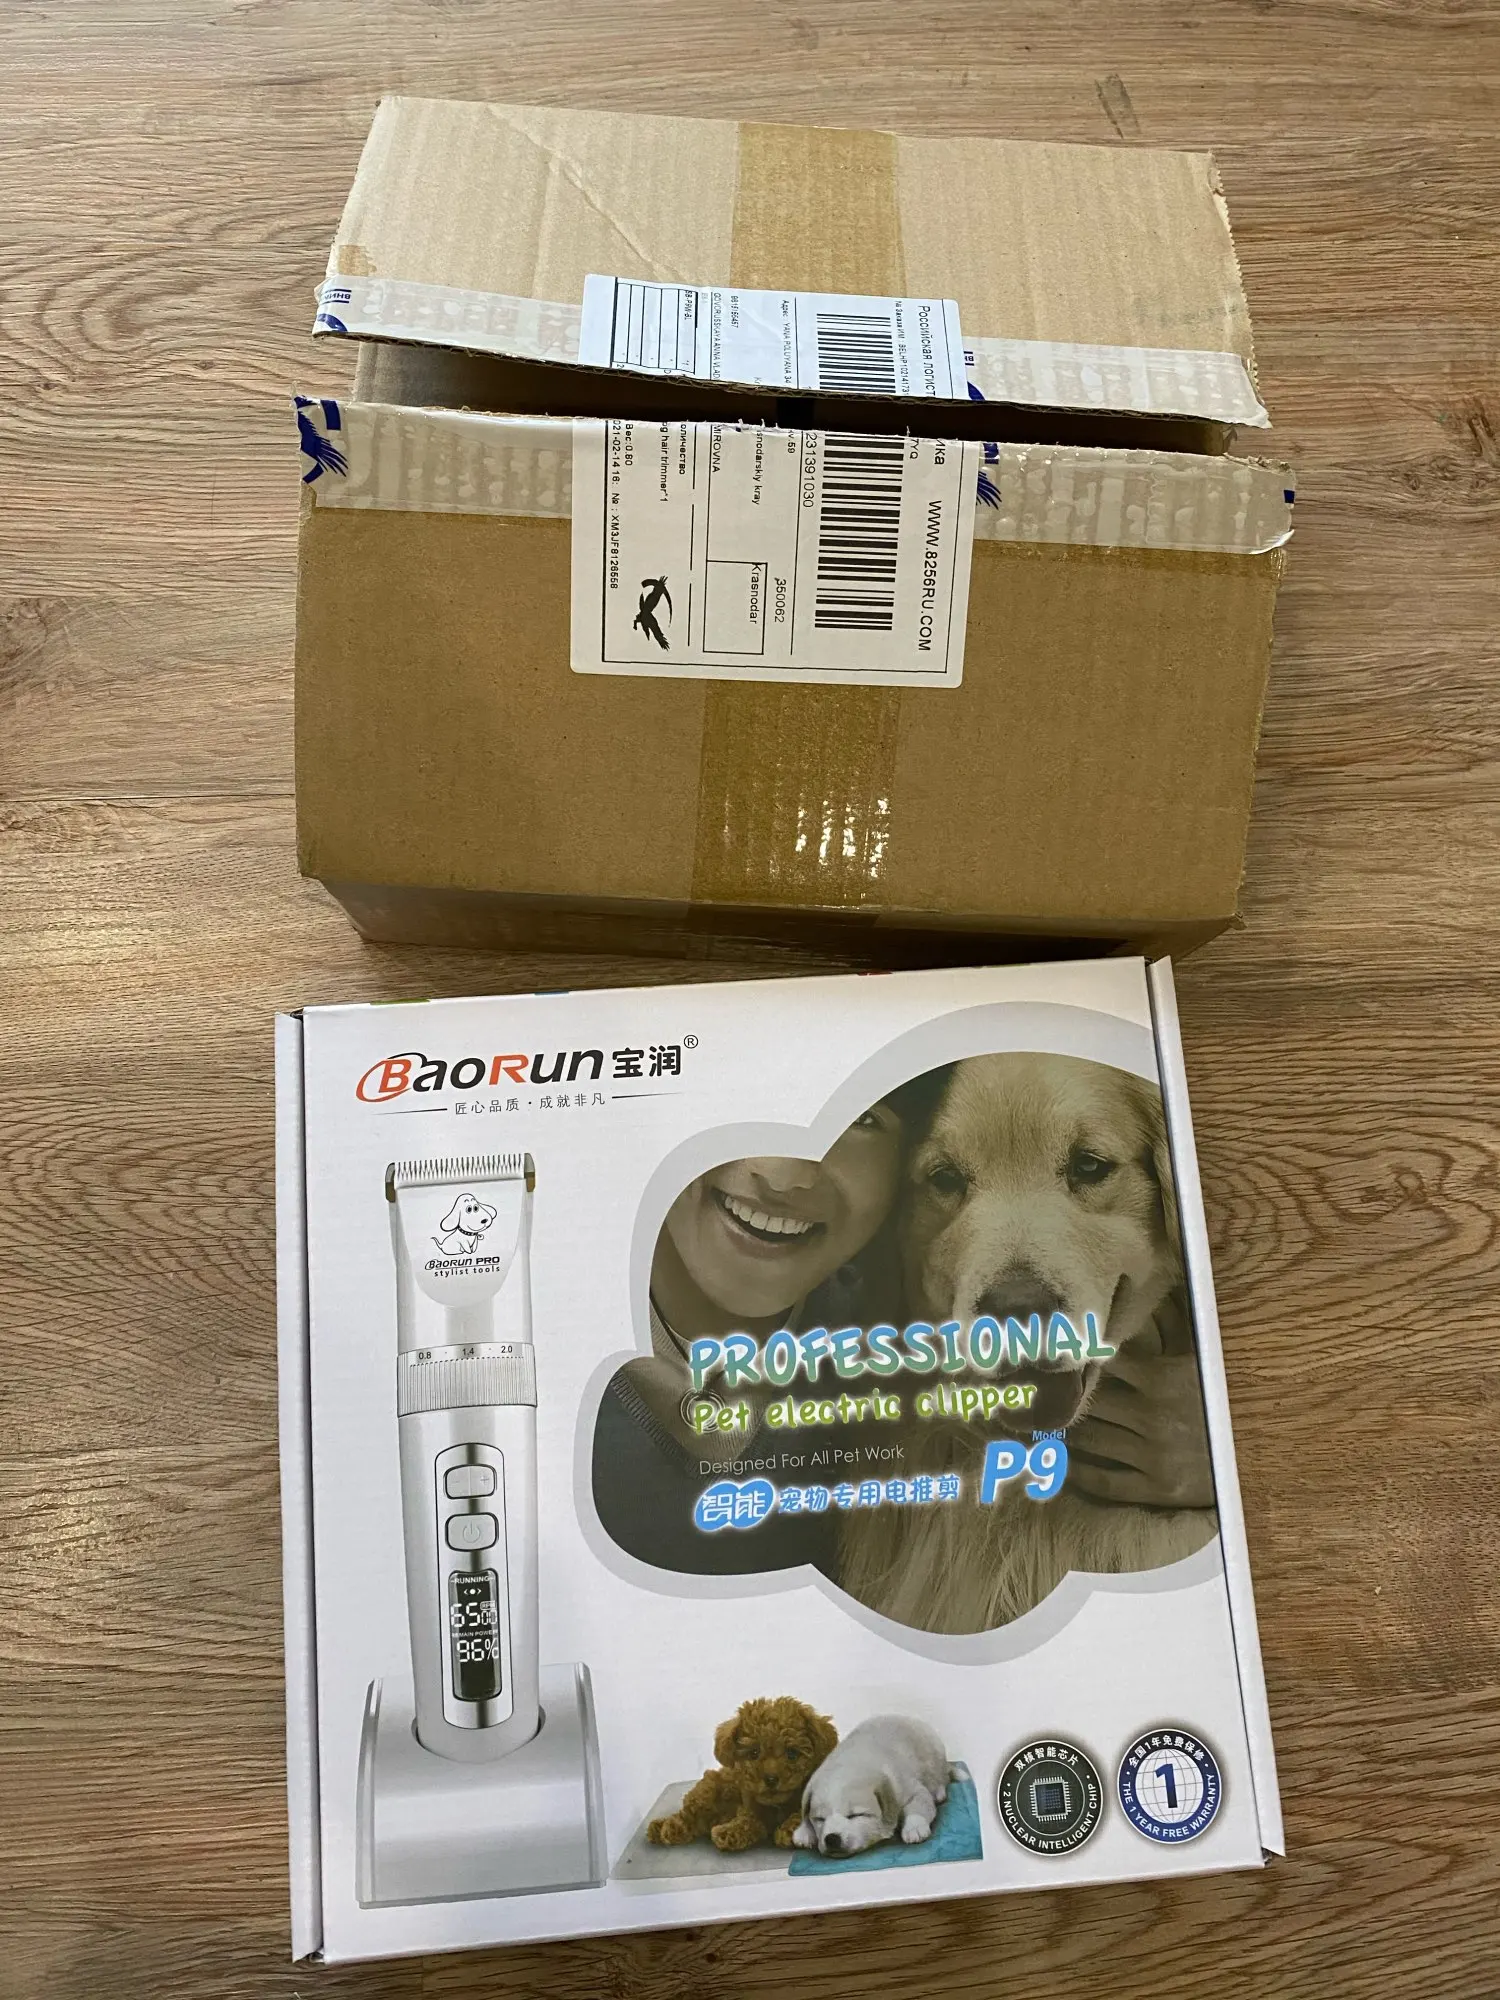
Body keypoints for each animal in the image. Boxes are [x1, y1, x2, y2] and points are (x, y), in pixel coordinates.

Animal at [647, 1696, 837, 1853]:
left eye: (792, 1754)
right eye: (754, 1753)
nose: (771, 1779)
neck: (776, 1805)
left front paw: (790, 1831)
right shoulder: (749, 1806)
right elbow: (747, 1821)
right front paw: (728, 1832)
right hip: (705, 1792)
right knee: (687, 1815)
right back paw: (667, 1828)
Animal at [793, 1716, 950, 1857]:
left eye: (856, 1815)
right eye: (820, 1819)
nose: (831, 1838)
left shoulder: (911, 1789)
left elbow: (920, 1804)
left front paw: (914, 1827)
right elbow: (804, 1813)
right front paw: (803, 1831)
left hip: (936, 1754)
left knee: (941, 1776)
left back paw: (939, 1792)